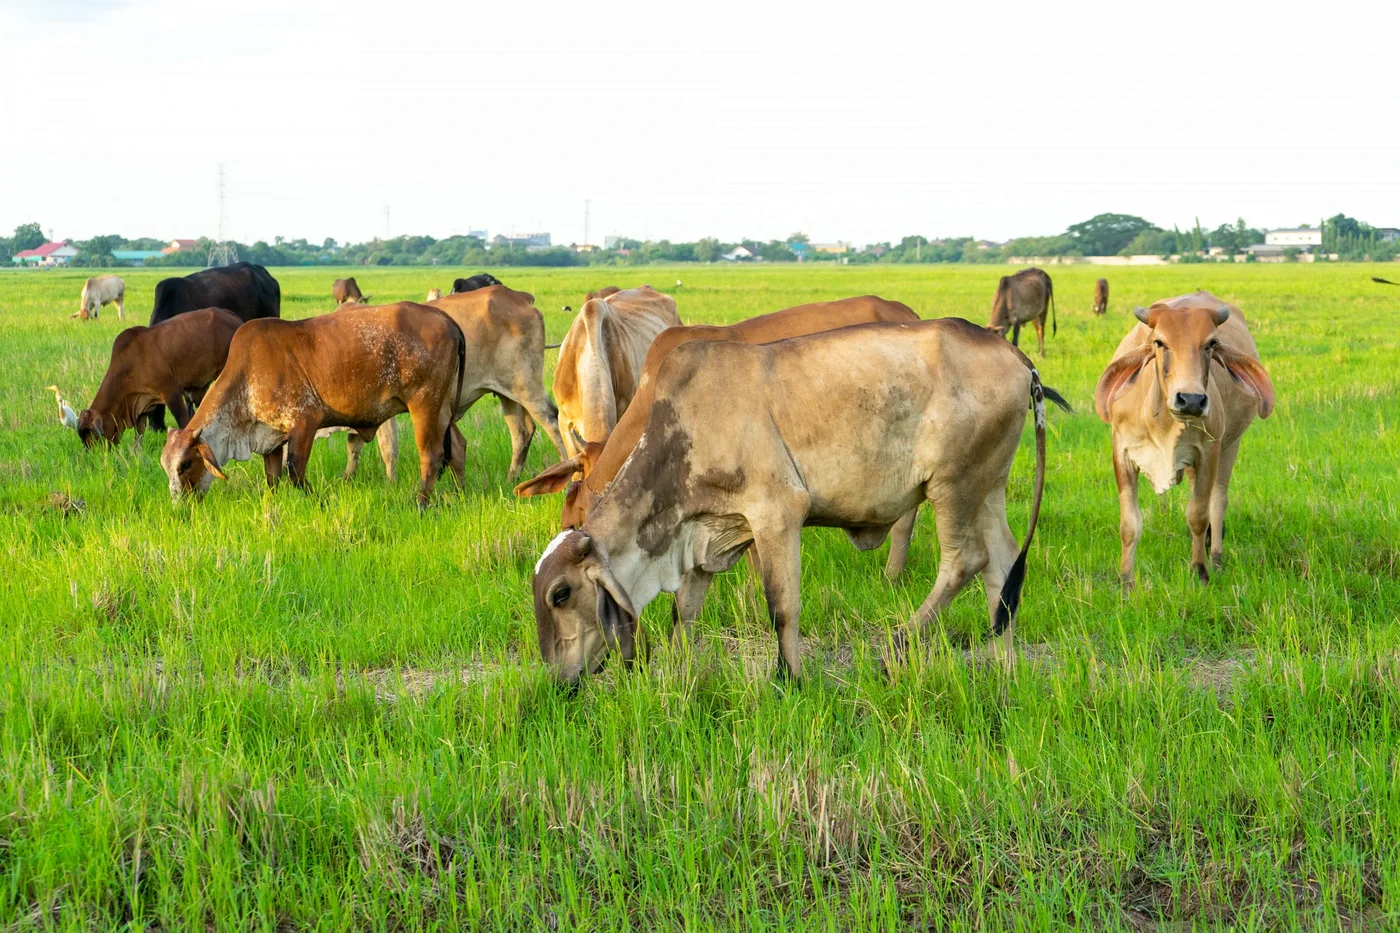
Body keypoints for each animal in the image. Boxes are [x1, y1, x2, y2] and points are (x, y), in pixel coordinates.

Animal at [73, 308, 243, 447]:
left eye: (89, 434)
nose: (91, 454)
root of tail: (233, 317)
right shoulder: (141, 404)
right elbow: (138, 437)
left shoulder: (171, 393)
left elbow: (183, 422)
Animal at [160, 302, 464, 507]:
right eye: (166, 467)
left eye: (185, 464)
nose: (180, 508)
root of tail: (446, 319)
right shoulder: (271, 439)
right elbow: (273, 479)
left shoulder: (305, 421)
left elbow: (294, 471)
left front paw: (320, 500)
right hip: (443, 409)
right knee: (457, 448)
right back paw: (460, 493)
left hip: (424, 404)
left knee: (431, 455)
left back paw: (421, 503)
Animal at [426, 285, 568, 482]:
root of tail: (520, 296)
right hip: (508, 392)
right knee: (522, 431)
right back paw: (511, 480)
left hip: (528, 386)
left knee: (552, 420)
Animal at [529, 318, 1071, 688]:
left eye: (561, 594)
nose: (557, 681)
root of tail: (1018, 359)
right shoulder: (704, 533)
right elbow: (684, 611)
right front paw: (679, 672)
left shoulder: (777, 515)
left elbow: (781, 607)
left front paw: (788, 678)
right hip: (987, 488)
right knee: (1002, 566)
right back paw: (1003, 667)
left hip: (953, 485)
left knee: (966, 561)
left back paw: (893, 649)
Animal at [1093, 290, 1275, 589]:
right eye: (1159, 342)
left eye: (1211, 343)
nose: (1191, 399)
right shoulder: (1122, 451)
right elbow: (1130, 524)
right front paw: (1126, 581)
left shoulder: (1209, 452)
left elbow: (1198, 514)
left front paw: (1199, 571)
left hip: (1229, 446)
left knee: (1217, 501)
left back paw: (1216, 558)